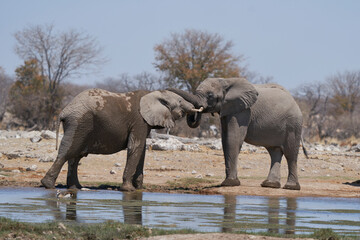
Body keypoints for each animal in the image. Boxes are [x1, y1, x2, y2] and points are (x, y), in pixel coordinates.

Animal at [41, 88, 202, 191]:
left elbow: (142, 150)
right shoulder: (139, 121)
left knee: (75, 156)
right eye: (180, 100)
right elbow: (135, 147)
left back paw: (76, 187)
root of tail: (64, 111)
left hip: (79, 125)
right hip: (79, 122)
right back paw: (48, 185)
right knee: (68, 152)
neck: (152, 94)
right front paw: (129, 190)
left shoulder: (143, 124)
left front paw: (139, 188)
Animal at [170, 78, 308, 190]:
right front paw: (230, 182)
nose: (167, 89)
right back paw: (270, 185)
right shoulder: (227, 109)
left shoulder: (243, 110)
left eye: (210, 95)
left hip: (293, 125)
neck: (226, 81)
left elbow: (233, 138)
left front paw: (229, 183)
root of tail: (295, 102)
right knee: (274, 151)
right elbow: (225, 139)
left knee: (290, 154)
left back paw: (291, 187)